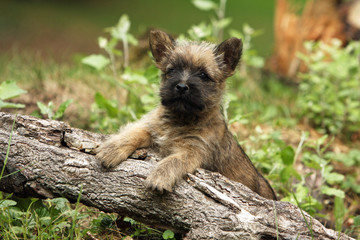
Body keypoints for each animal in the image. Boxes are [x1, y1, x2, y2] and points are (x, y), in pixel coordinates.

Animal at [97, 30, 278, 201]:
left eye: (203, 75)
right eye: (171, 70)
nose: (181, 87)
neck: (181, 118)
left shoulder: (194, 151)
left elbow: (174, 160)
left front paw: (159, 177)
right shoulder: (151, 127)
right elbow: (134, 132)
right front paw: (111, 150)